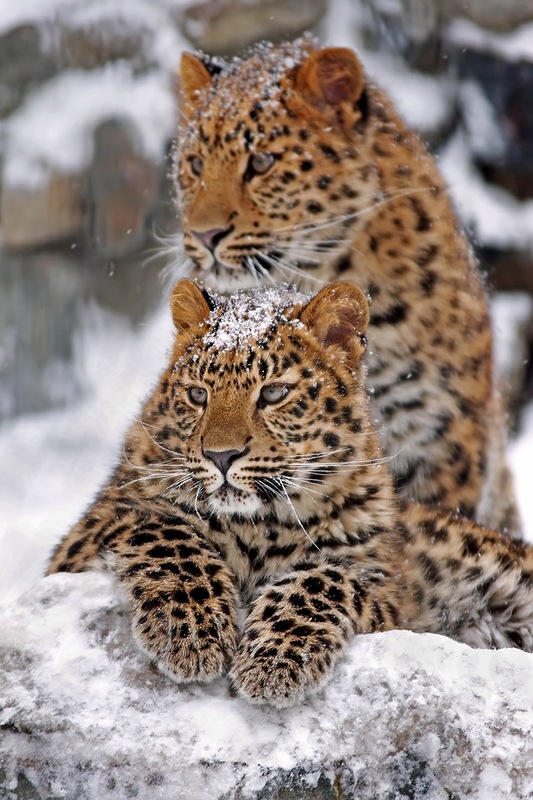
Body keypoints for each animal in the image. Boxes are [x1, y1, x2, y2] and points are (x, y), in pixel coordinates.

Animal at [48, 279, 533, 708]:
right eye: (197, 394)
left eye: (274, 393)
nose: (220, 456)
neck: (258, 529)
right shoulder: (90, 531)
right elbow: (165, 532)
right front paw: (189, 630)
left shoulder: (383, 588)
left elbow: (323, 578)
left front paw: (274, 662)